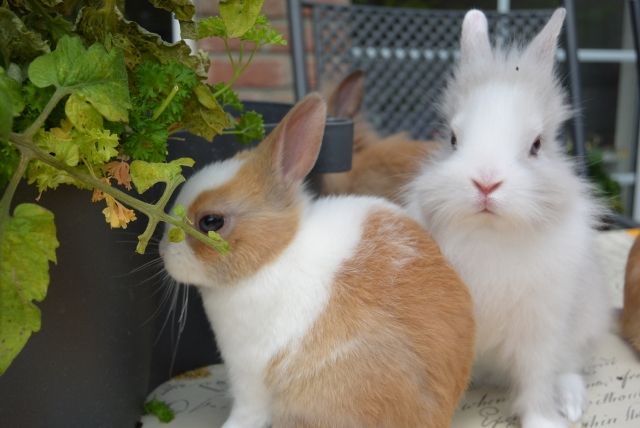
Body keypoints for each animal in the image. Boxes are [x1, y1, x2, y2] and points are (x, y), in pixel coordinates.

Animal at [159, 93, 475, 428]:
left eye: (211, 222)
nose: (163, 251)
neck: (275, 253)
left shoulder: (250, 374)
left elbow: (246, 411)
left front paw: (230, 426)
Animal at [404, 9, 611, 428]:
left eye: (537, 145)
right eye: (452, 139)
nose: (486, 182)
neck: (491, 234)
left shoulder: (541, 330)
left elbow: (537, 379)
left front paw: (543, 420)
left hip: (585, 323)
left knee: (569, 365)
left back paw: (572, 403)